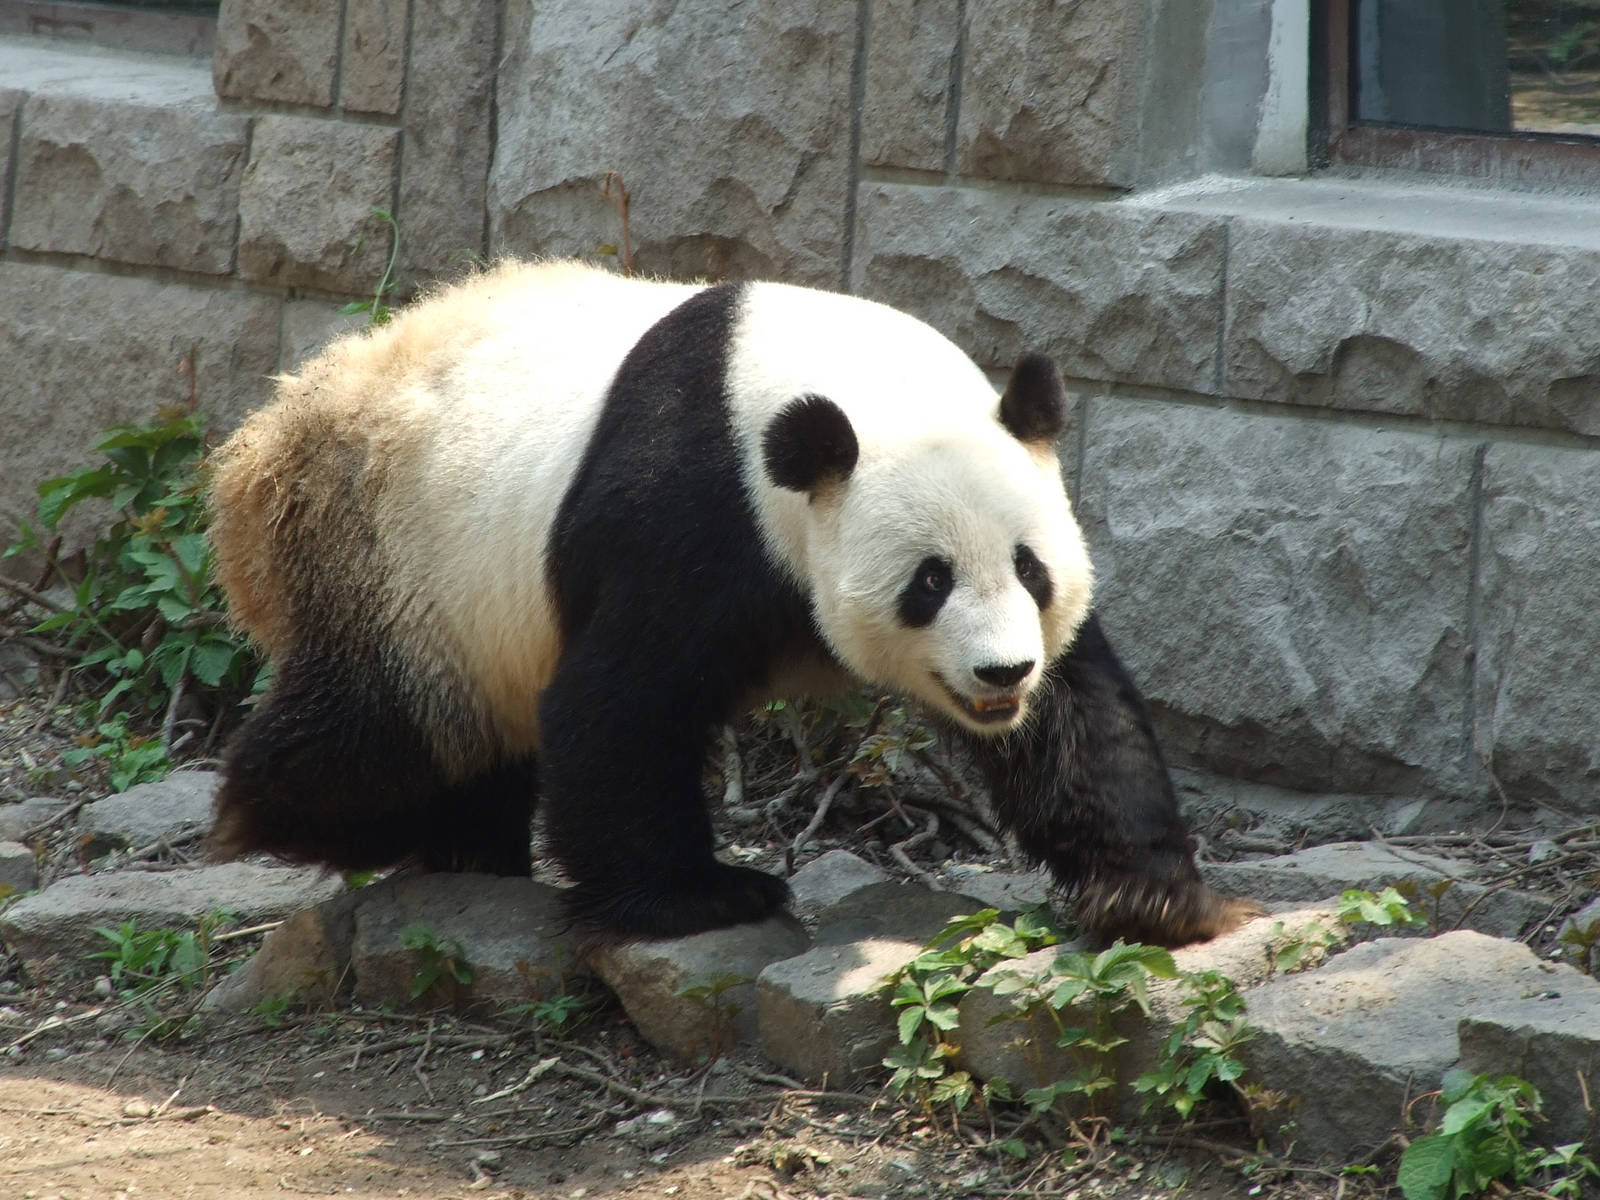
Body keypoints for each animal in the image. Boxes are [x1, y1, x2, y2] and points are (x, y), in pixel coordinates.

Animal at [208, 260, 1255, 947]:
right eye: (930, 581)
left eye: (1031, 570)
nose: (1001, 673)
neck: (859, 388)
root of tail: (274, 443)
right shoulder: (694, 508)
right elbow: (619, 702)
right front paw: (704, 897)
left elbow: (1080, 711)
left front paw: (1160, 899)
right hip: (406, 570)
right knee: (375, 736)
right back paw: (359, 823)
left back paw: (470, 844)